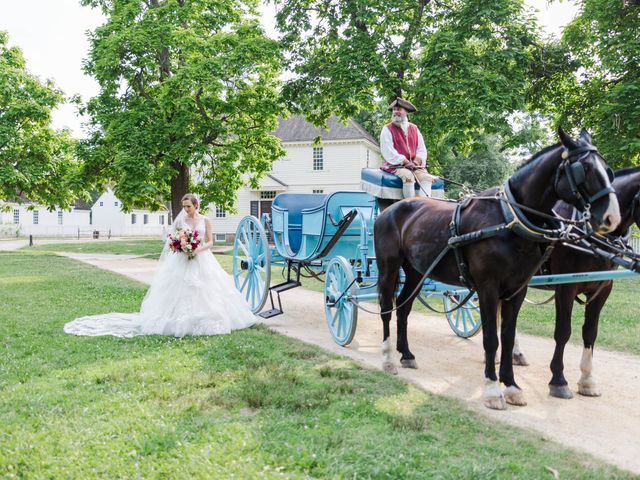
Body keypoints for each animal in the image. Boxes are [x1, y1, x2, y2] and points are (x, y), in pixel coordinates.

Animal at [376, 128, 620, 408]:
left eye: (608, 170)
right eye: (584, 168)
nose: (612, 218)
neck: (509, 218)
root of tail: (388, 210)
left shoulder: (518, 289)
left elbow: (508, 336)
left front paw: (512, 385)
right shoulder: (489, 288)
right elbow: (492, 338)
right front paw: (493, 389)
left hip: (417, 272)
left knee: (404, 308)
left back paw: (406, 354)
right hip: (388, 269)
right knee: (386, 309)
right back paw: (388, 358)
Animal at [544, 167, 640, 400]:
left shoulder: (603, 289)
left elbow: (590, 331)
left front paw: (587, 380)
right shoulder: (565, 289)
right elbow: (563, 331)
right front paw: (558, 380)